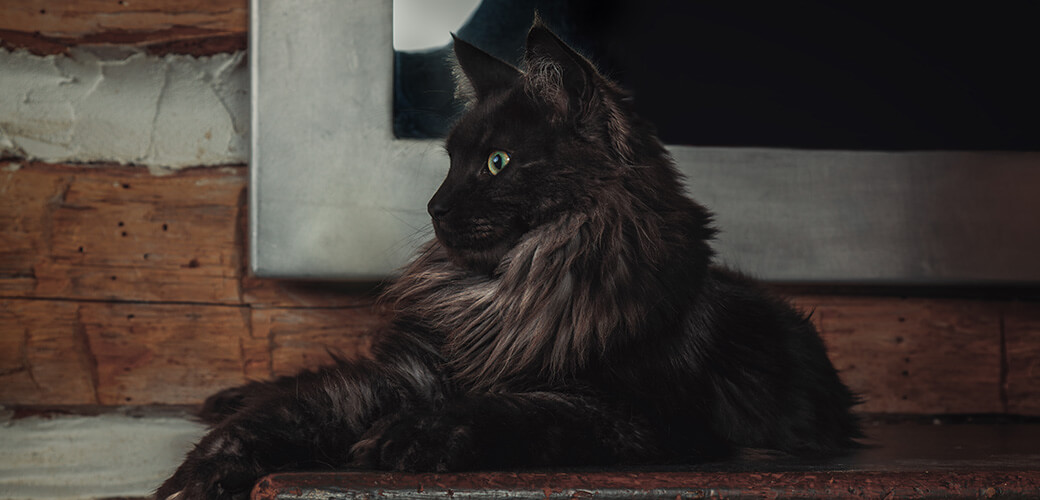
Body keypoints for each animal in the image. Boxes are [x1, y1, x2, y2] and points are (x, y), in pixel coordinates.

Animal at [153, 20, 856, 498]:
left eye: (497, 162)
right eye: (450, 160)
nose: (435, 206)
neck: (509, 293)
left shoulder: (641, 416)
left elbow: (517, 410)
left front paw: (411, 437)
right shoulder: (411, 375)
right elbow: (297, 410)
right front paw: (199, 472)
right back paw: (229, 395)